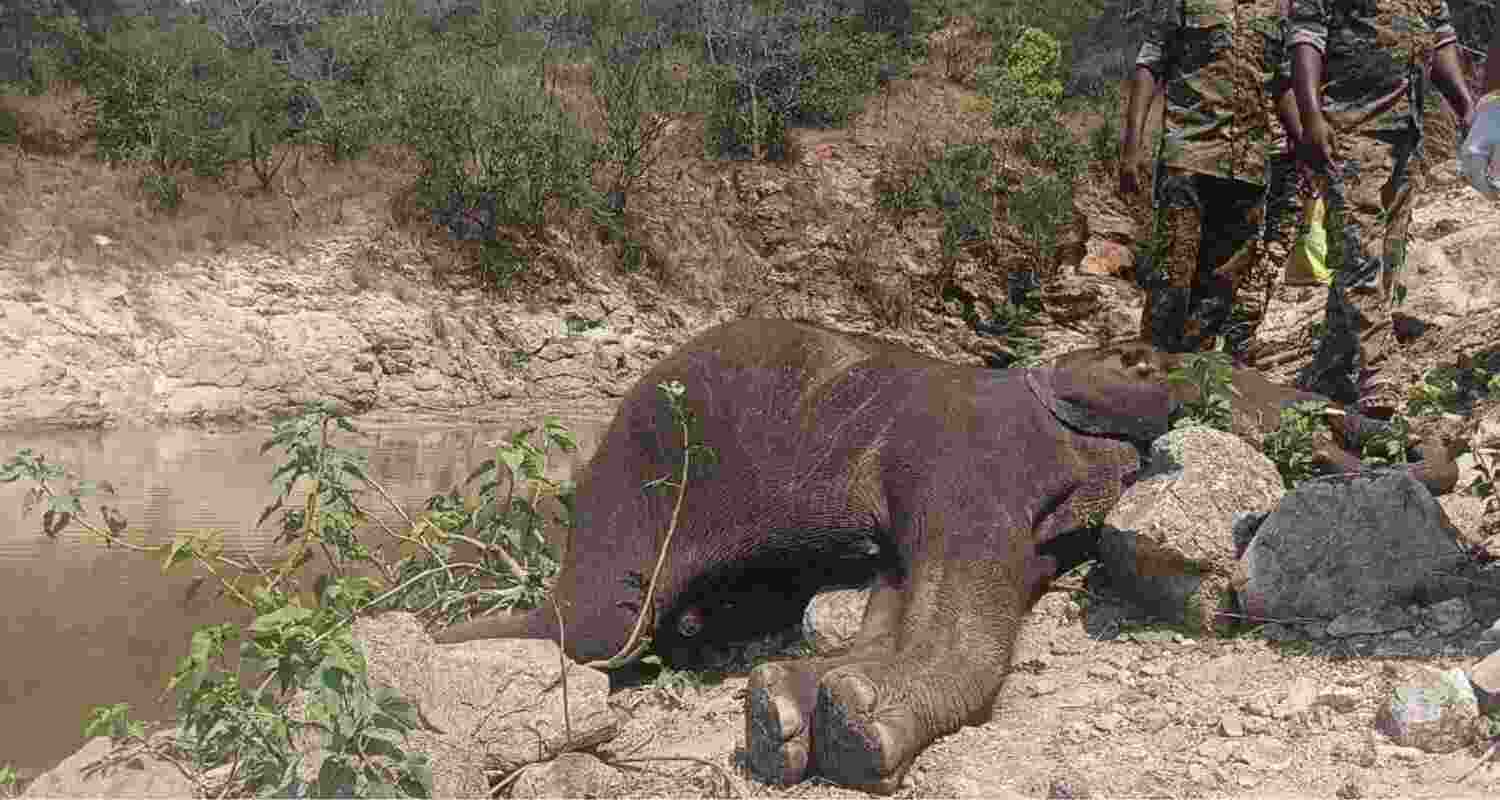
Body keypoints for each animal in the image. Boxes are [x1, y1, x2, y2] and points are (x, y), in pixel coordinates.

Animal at [433, 319, 1179, 793]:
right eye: (1137, 361)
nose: (1167, 365)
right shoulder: (960, 453)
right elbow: (953, 589)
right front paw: (849, 720)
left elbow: (904, 591)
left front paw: (803, 711)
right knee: (602, 627)